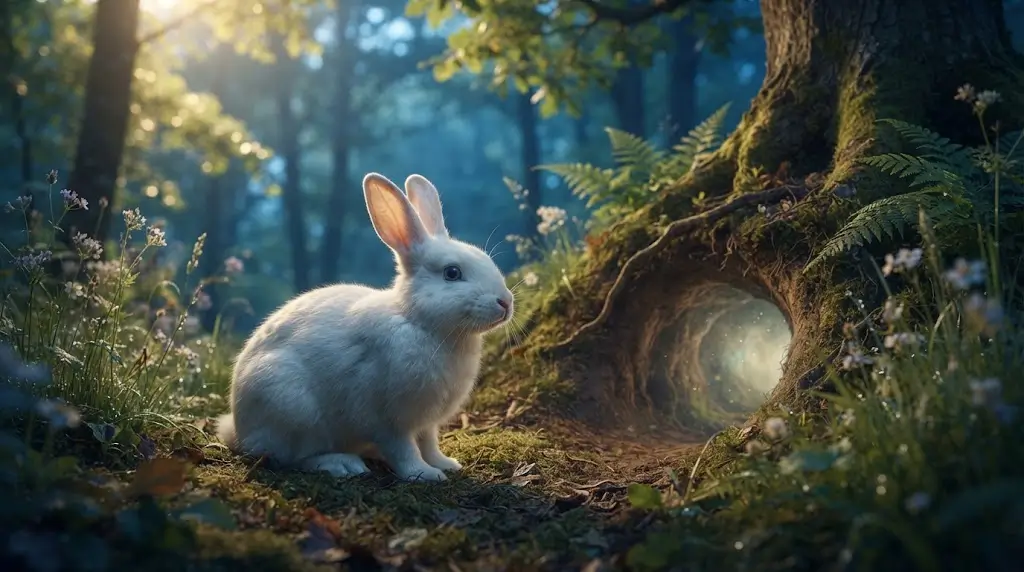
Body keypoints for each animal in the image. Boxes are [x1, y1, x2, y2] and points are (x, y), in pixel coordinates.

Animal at [216, 172, 514, 482]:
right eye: (452, 273)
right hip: (292, 409)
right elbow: (404, 450)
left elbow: (429, 443)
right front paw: (423, 474)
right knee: (291, 457)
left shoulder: (426, 422)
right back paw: (342, 464)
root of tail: (238, 429)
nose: (505, 302)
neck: (421, 323)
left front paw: (445, 464)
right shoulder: (388, 419)